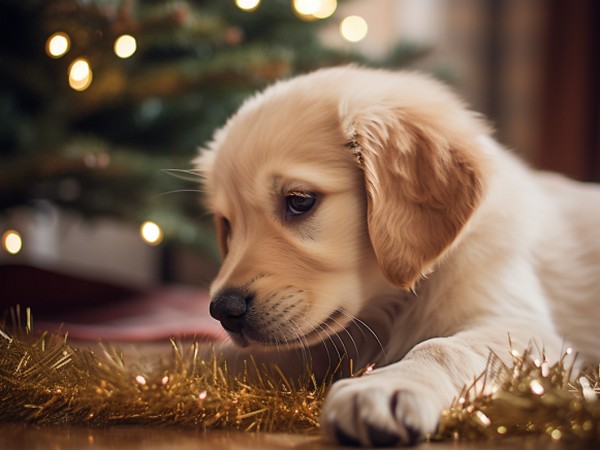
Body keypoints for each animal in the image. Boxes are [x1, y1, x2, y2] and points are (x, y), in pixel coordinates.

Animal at [197, 65, 600, 444]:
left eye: (299, 201)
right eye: (228, 224)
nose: (223, 310)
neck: (391, 304)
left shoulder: (522, 327)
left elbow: (443, 346)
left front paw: (386, 386)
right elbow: (237, 356)